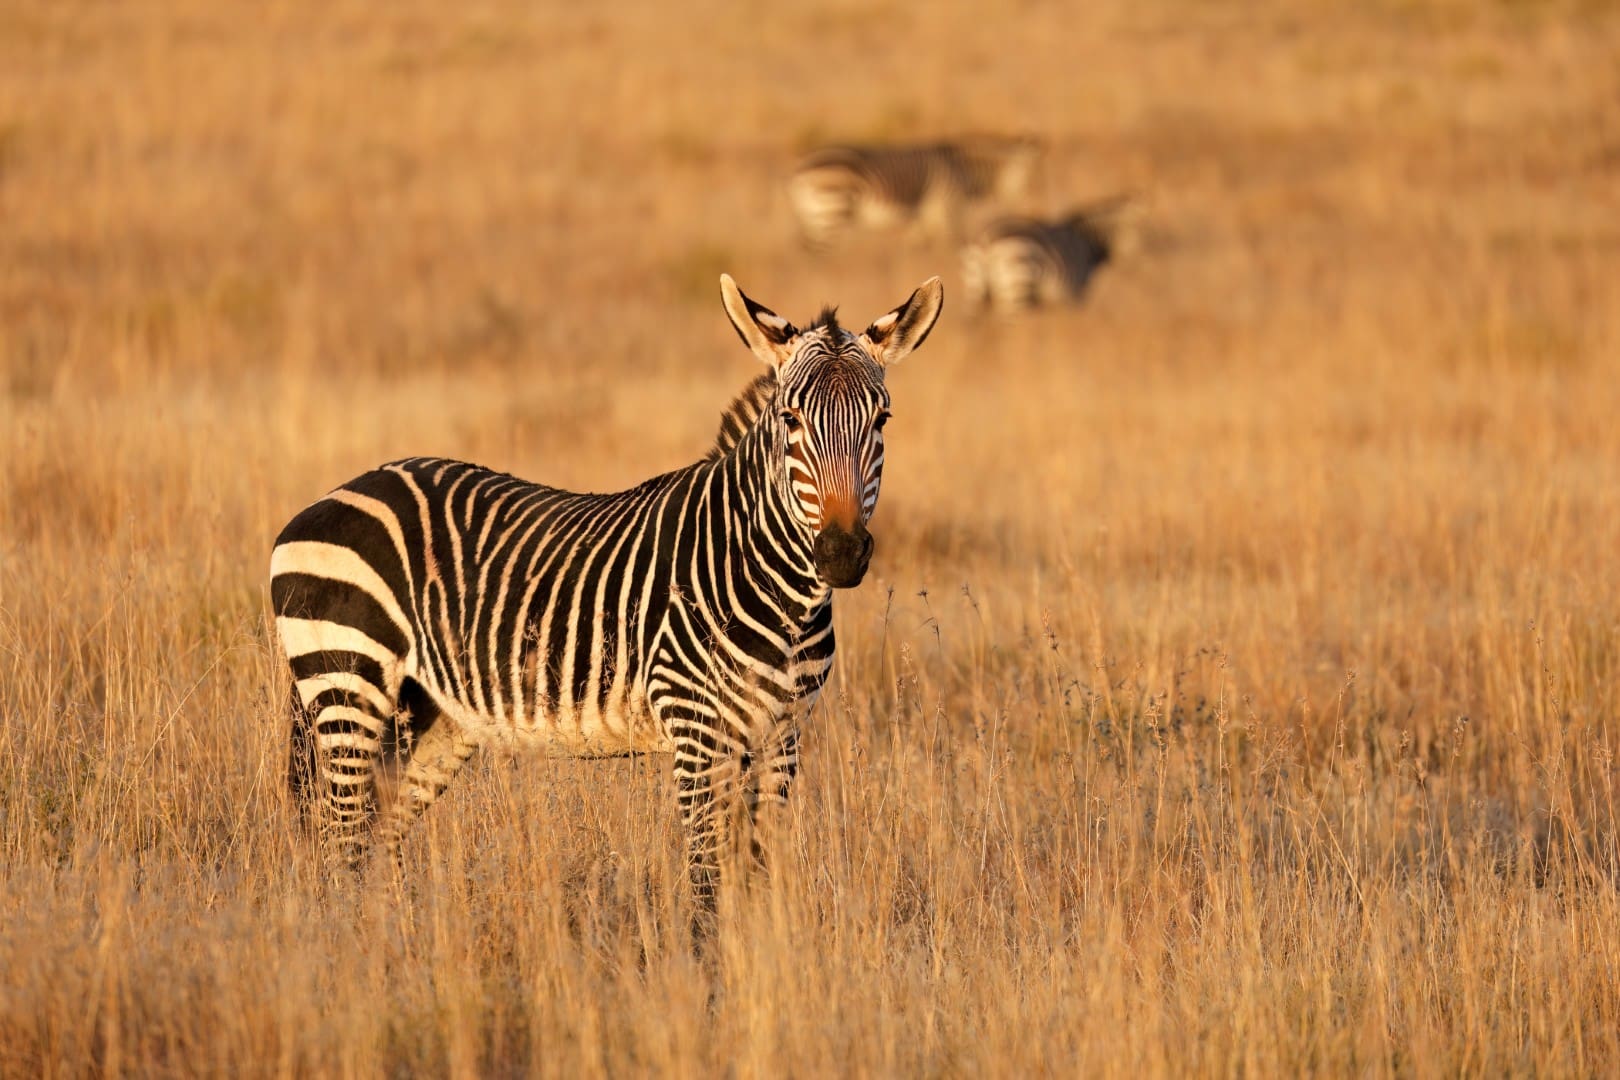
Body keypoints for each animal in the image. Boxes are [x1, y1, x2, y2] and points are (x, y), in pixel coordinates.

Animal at [269, 274, 944, 914]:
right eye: (790, 421)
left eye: (881, 421)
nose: (840, 552)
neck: (778, 594)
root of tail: (335, 494)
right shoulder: (698, 732)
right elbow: (707, 886)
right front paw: (709, 962)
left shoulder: (783, 736)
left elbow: (758, 874)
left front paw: (764, 952)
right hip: (348, 687)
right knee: (339, 846)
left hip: (428, 717)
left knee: (376, 844)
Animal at [788, 136, 1040, 250]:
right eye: (1033, 181)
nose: (1033, 217)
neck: (962, 172)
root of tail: (800, 168)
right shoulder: (947, 211)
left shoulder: (922, 219)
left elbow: (916, 249)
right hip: (832, 209)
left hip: (814, 214)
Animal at [960, 198, 1135, 313]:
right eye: (1139, 233)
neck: (1088, 241)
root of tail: (986, 239)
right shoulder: (1074, 290)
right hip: (1018, 282)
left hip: (976, 289)